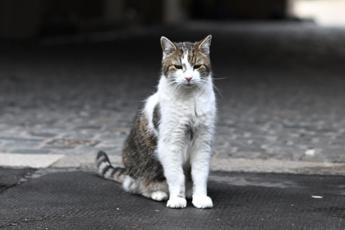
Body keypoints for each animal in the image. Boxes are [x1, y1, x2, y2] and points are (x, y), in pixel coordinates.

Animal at [95, 35, 215, 209]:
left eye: (197, 66)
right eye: (178, 66)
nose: (188, 78)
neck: (190, 99)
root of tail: (128, 172)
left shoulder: (202, 141)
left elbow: (200, 173)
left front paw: (200, 197)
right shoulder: (171, 144)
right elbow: (176, 175)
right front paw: (177, 199)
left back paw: (189, 192)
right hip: (147, 165)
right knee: (136, 186)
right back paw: (158, 193)